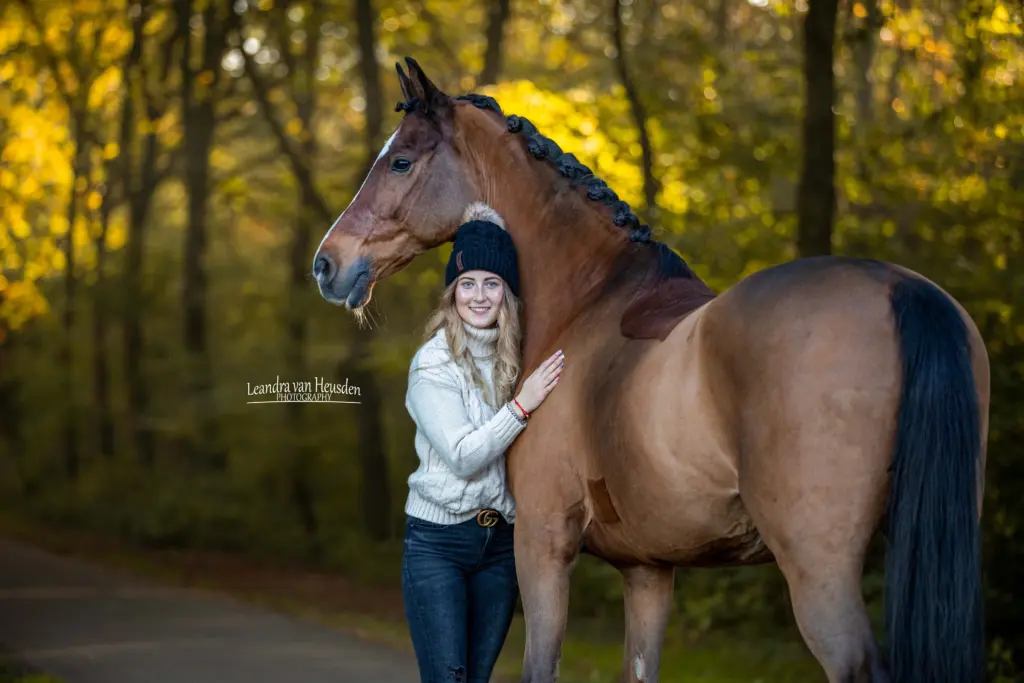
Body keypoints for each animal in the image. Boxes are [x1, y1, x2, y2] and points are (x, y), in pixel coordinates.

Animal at [307, 58, 987, 683]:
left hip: (820, 570)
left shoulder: (543, 545)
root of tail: (899, 289)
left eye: (400, 162)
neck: (589, 301)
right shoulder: (649, 571)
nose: (327, 264)